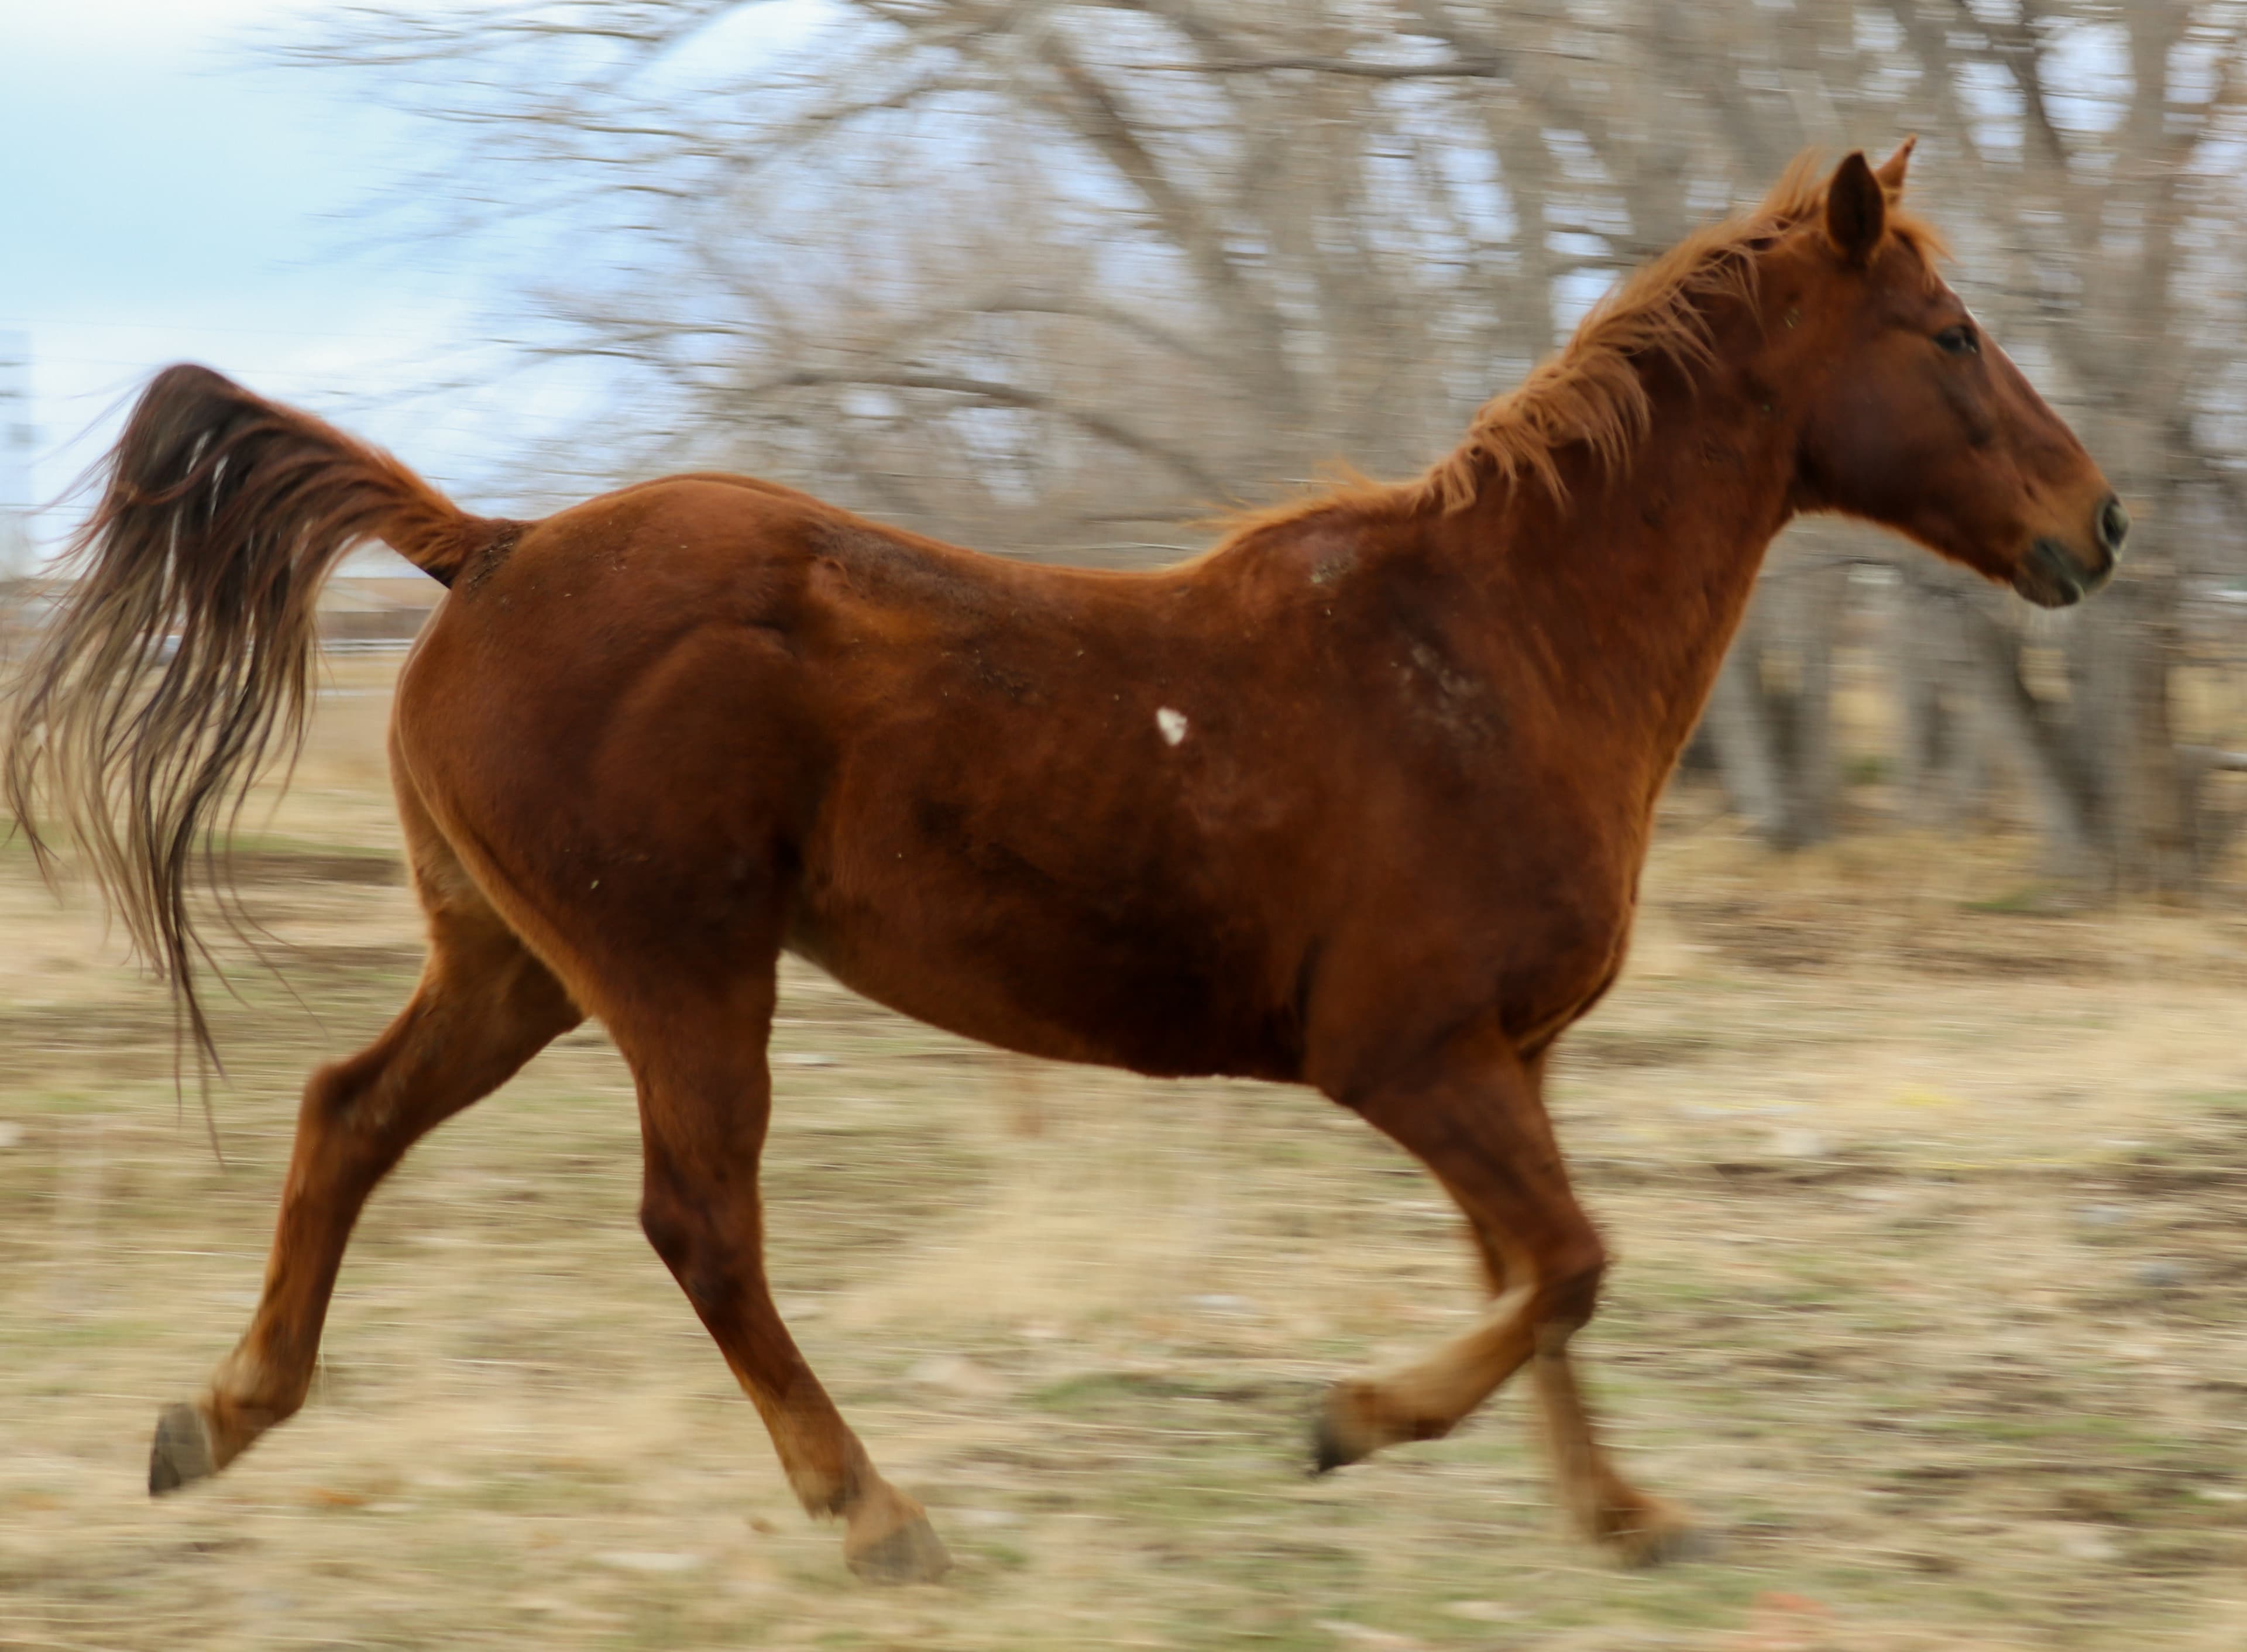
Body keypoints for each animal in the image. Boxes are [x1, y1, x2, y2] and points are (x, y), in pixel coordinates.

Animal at [3, 143, 2123, 1584]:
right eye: (1949, 333)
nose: (2097, 526)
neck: (1493, 651)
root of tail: (493, 544)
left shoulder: (1503, 1060)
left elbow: (1544, 1273)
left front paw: (1619, 1515)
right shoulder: (1410, 1053)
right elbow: (1573, 1262)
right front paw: (1348, 1424)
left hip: (514, 965)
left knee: (347, 1112)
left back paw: (217, 1417)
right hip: (681, 974)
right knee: (699, 1223)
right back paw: (875, 1513)